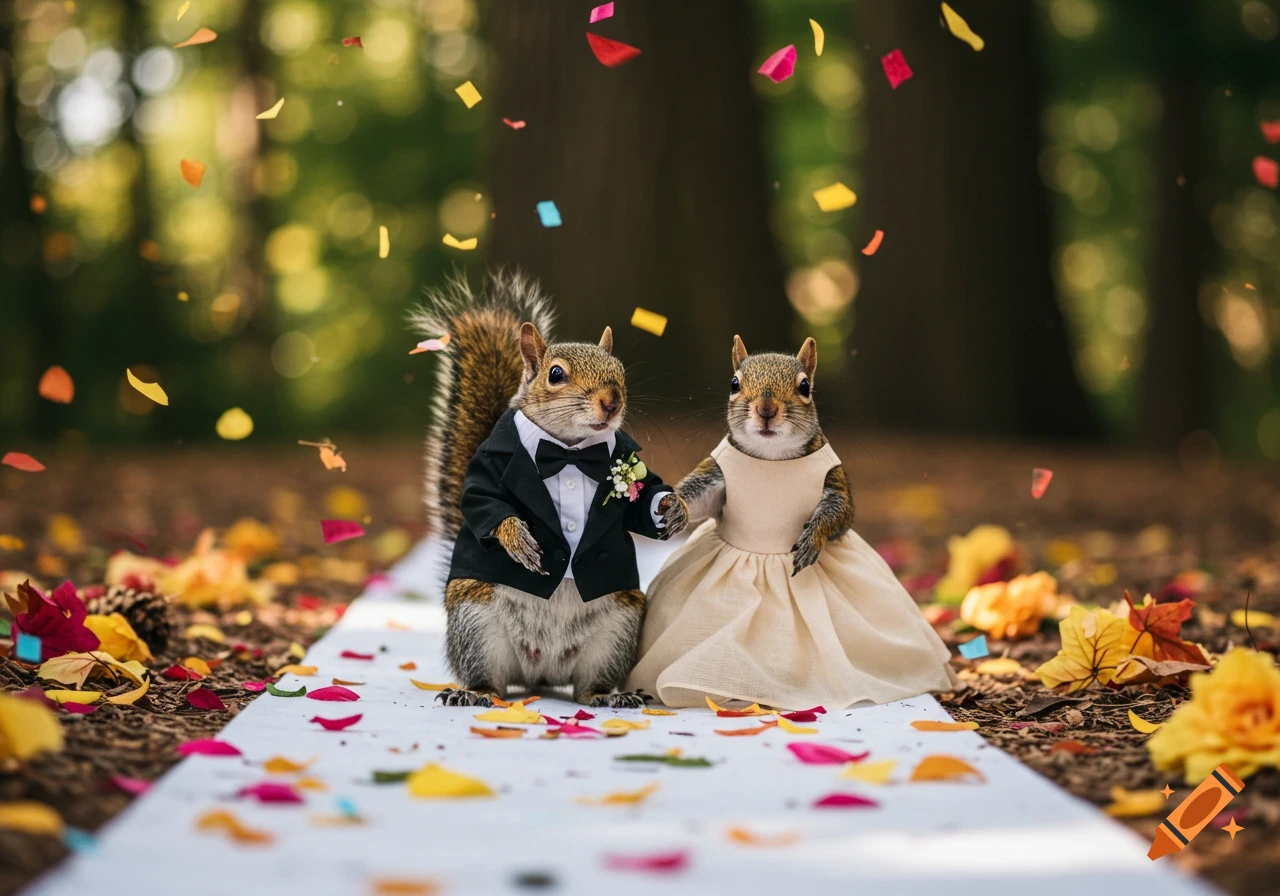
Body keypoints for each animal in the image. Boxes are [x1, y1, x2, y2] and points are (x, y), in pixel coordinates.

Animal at [412, 270, 689, 708]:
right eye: (555, 374)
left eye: (620, 372)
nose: (611, 402)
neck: (568, 452)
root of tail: (542, 672)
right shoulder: (485, 473)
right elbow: (482, 501)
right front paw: (518, 539)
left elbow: (640, 502)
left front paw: (670, 506)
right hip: (476, 623)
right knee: (488, 678)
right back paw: (473, 693)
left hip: (616, 631)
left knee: (588, 686)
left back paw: (609, 697)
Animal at [673, 335, 854, 574]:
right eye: (734, 384)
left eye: (805, 386)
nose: (766, 410)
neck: (771, 456)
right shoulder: (717, 473)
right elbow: (697, 496)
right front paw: (675, 505)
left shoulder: (833, 478)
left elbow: (840, 510)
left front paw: (814, 536)